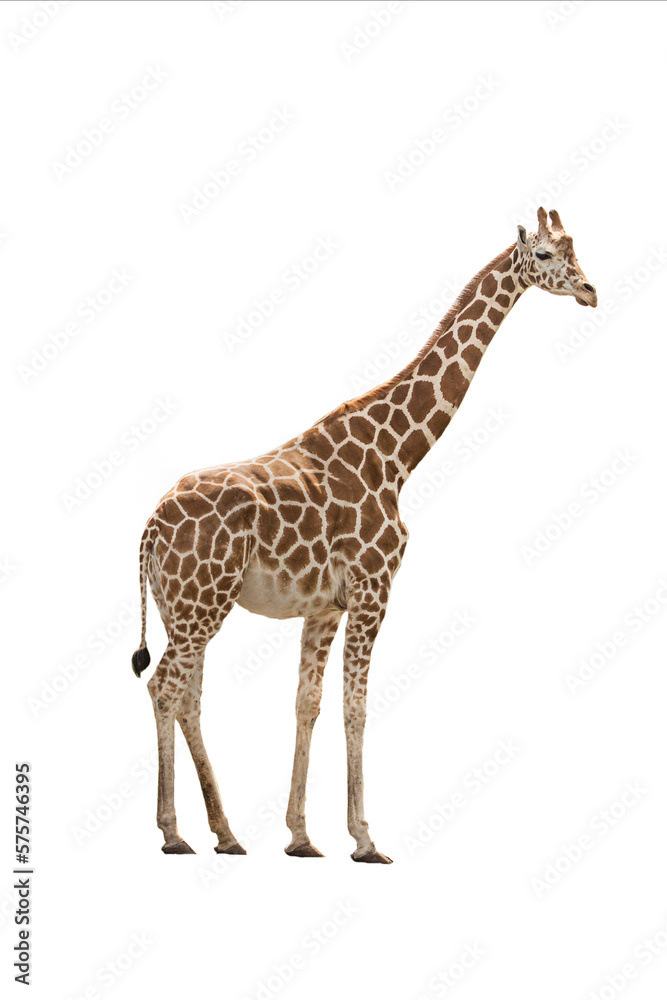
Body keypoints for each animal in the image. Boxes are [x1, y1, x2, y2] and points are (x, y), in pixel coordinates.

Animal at [132, 207, 596, 861]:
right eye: (549, 256)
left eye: (577, 249)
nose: (590, 291)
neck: (397, 455)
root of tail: (149, 527)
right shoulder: (374, 589)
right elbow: (358, 707)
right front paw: (365, 838)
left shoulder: (325, 605)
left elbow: (308, 705)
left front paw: (301, 837)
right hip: (202, 602)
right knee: (163, 687)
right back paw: (174, 833)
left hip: (184, 606)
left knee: (188, 696)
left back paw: (225, 833)